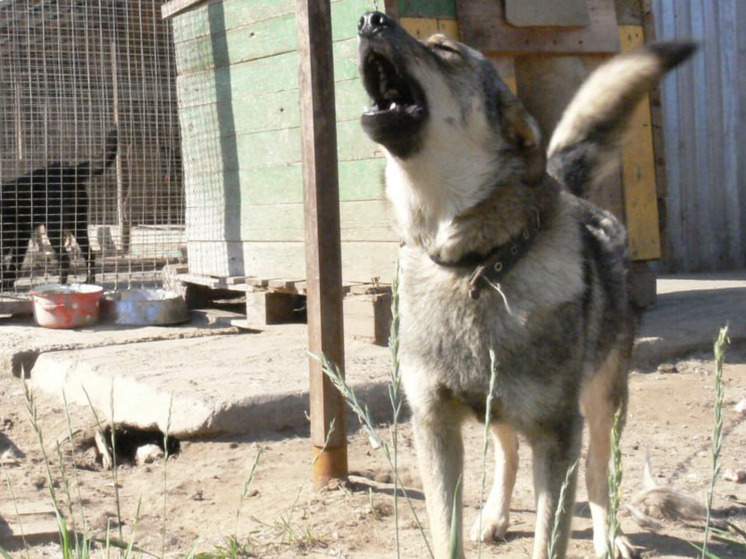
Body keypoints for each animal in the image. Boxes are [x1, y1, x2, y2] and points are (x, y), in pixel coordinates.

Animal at [0, 130, 117, 288]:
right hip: (77, 223)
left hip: (54, 228)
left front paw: (7, 281)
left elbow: (13, 262)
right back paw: (89, 281)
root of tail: (69, 171)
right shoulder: (21, 236)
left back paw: (61, 284)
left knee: (66, 258)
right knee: (89, 253)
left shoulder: (19, 235)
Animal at [354, 9, 692, 559]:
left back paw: (611, 535)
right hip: (504, 411)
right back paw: (494, 514)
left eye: (445, 50)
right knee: (507, 452)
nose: (369, 18)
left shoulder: (557, 434)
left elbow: (552, 532)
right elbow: (446, 527)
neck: (473, 265)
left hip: (603, 402)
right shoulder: (433, 425)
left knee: (599, 472)